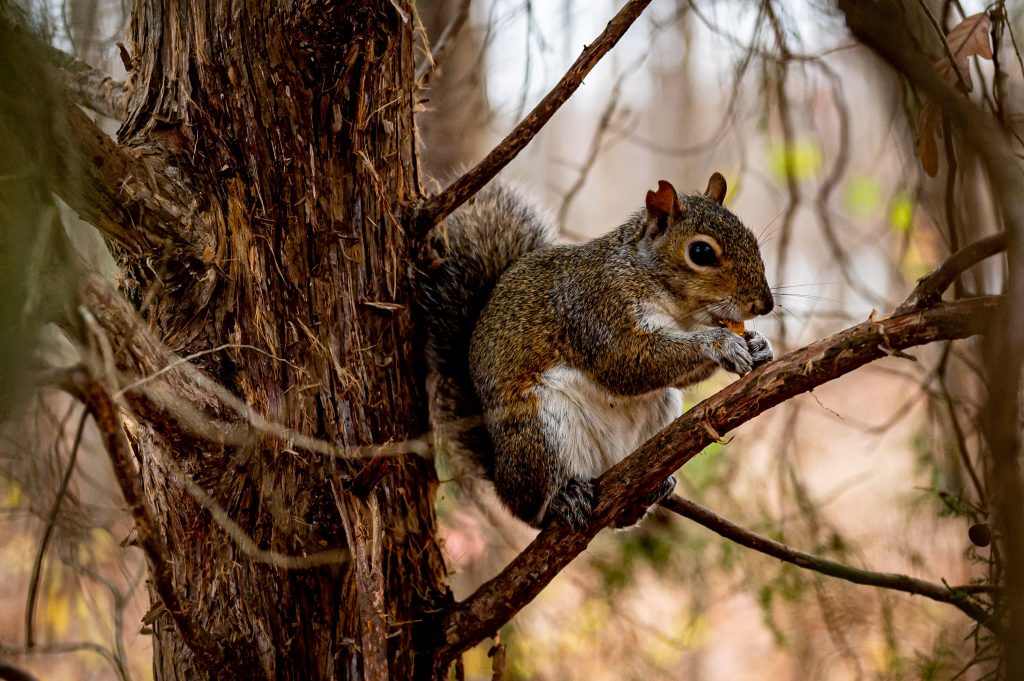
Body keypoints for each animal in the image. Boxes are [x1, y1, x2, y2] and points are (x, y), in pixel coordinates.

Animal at [417, 173, 774, 530]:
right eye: (701, 252)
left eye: (753, 241)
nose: (765, 305)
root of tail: (502, 479)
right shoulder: (597, 311)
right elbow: (628, 364)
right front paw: (720, 343)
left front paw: (758, 345)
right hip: (539, 432)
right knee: (534, 510)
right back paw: (562, 500)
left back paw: (645, 493)